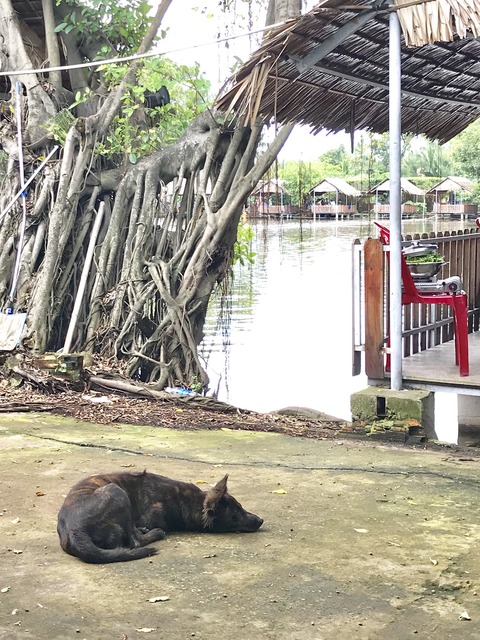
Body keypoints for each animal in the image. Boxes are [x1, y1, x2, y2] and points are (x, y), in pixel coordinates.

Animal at [59, 470, 266, 564]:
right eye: (235, 515)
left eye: (241, 506)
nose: (260, 520)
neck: (189, 501)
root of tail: (74, 530)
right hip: (116, 491)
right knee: (134, 541)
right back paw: (155, 533)